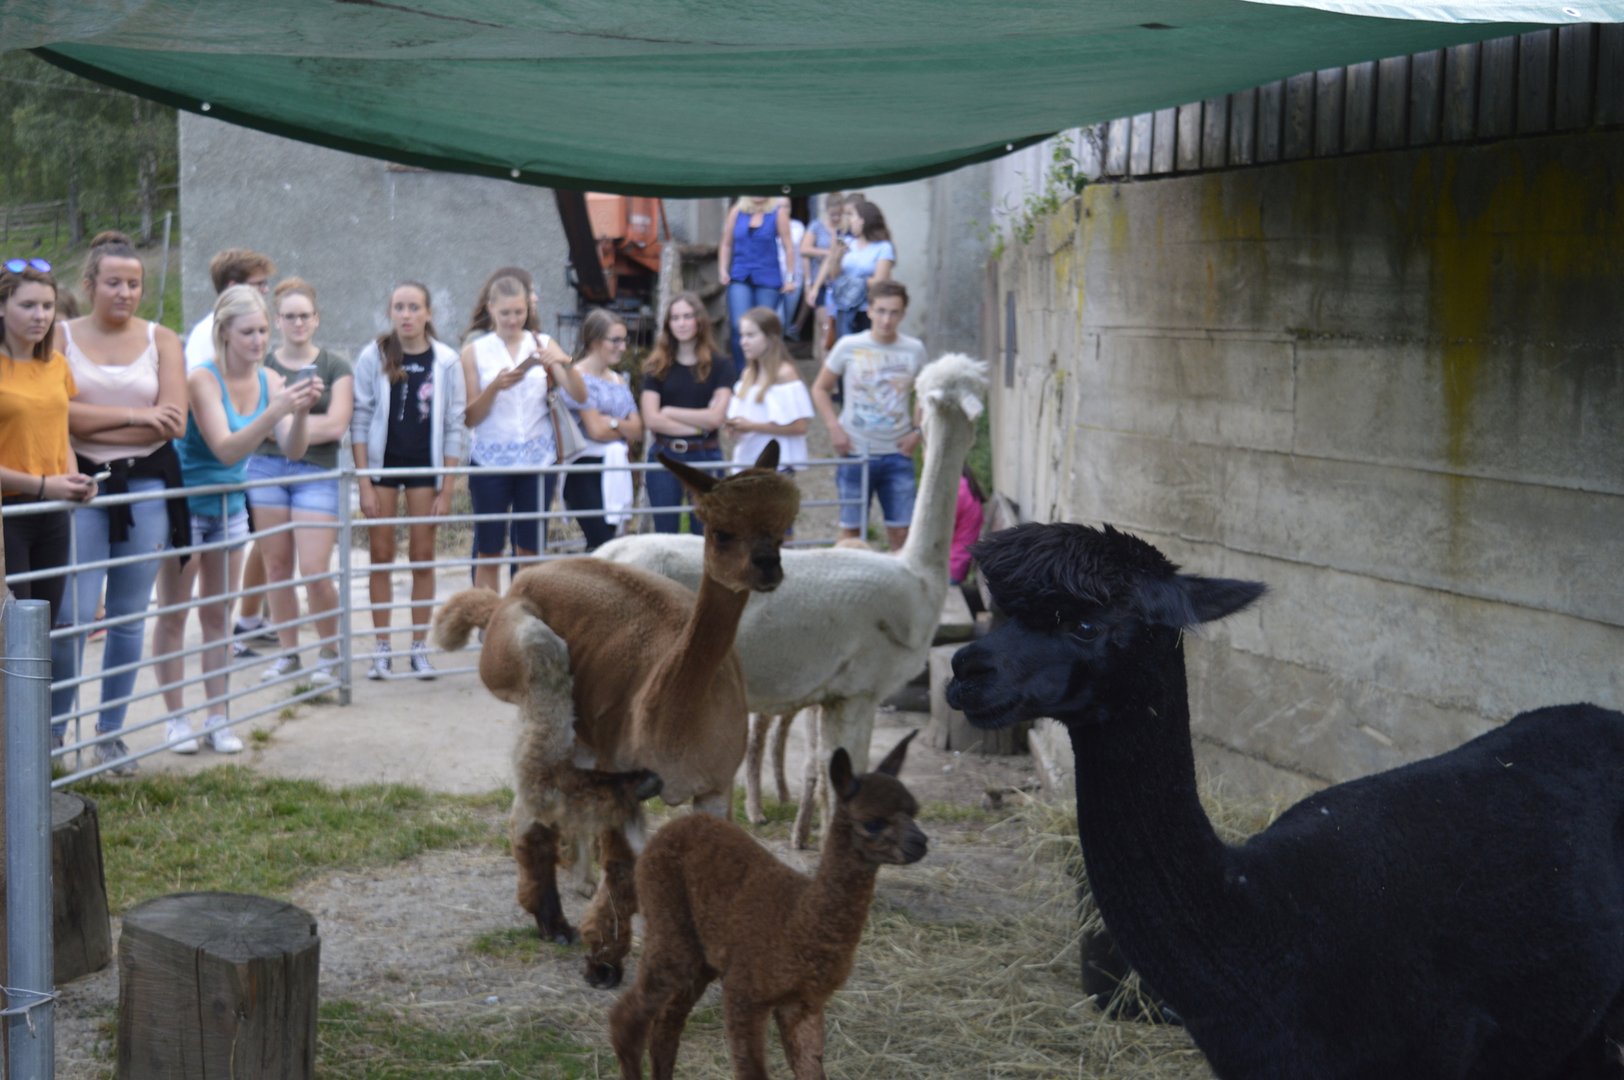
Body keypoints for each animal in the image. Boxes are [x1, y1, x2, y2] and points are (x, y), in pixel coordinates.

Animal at [437, 442, 800, 988]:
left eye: (782, 531)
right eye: (721, 532)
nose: (767, 567)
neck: (680, 726)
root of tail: (524, 578)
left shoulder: (716, 785)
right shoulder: (626, 774)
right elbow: (623, 870)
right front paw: (604, 961)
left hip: (584, 731)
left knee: (543, 793)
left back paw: (550, 913)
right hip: (524, 654)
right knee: (537, 784)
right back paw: (554, 919)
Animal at [609, 731, 927, 1079]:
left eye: (914, 811)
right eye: (873, 823)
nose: (921, 843)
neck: (799, 921)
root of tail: (671, 827)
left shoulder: (803, 1003)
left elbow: (811, 1069)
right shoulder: (745, 993)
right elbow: (752, 1070)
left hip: (701, 954)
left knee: (666, 1025)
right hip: (669, 927)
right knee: (627, 1017)